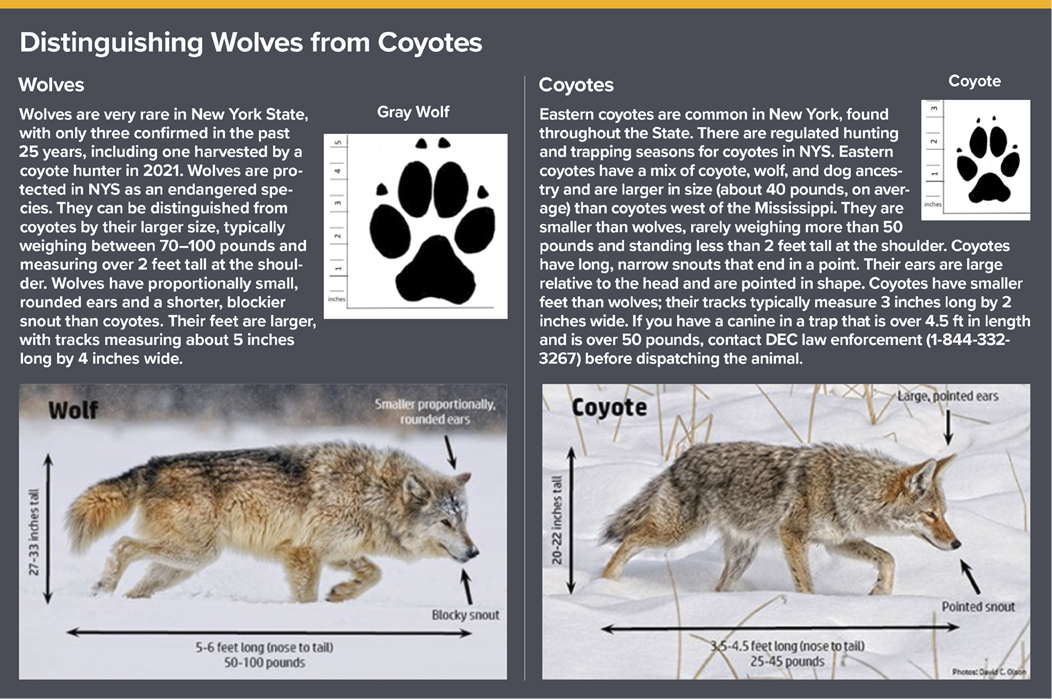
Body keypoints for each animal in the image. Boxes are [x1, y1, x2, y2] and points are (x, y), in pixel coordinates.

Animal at [66, 442, 478, 602]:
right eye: (446, 522)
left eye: (464, 520)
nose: (474, 552)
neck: (372, 494)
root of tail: (150, 466)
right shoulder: (304, 553)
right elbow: (307, 597)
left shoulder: (333, 551)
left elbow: (374, 572)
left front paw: (342, 593)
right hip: (197, 554)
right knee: (122, 545)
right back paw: (103, 589)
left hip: (183, 565)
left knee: (138, 587)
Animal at [600, 442, 959, 595]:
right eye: (930, 515)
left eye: (943, 514)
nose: (957, 543)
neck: (846, 488)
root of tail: (681, 458)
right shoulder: (792, 535)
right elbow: (807, 584)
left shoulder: (838, 542)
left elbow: (888, 559)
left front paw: (881, 593)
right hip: (674, 534)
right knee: (629, 540)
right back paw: (605, 587)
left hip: (743, 554)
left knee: (720, 587)